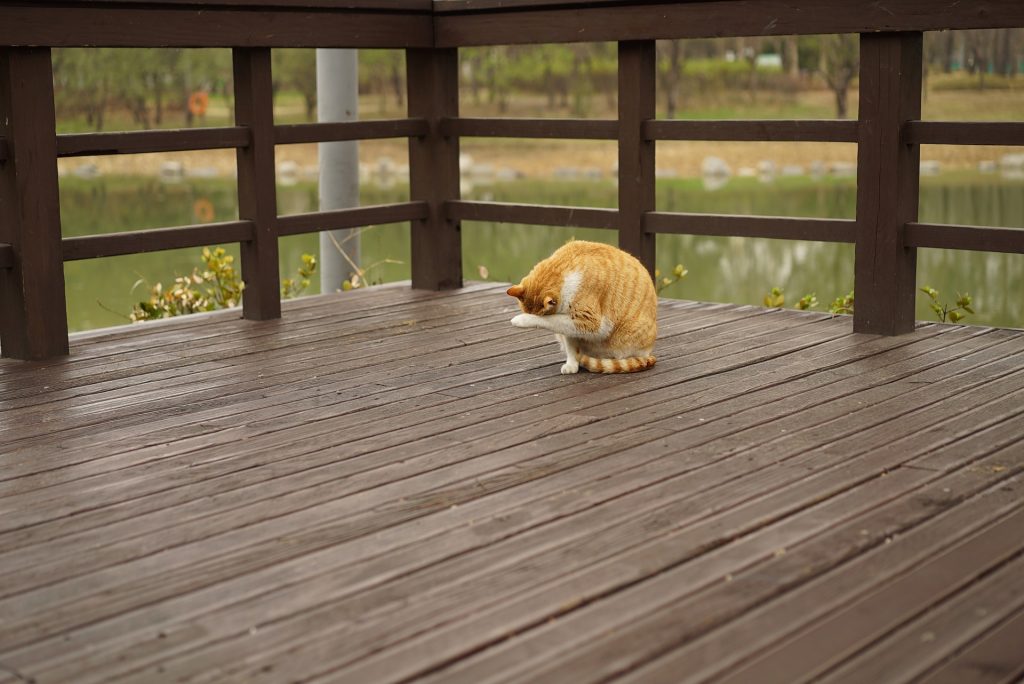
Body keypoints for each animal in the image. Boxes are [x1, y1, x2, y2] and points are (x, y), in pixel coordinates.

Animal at [503, 240, 655, 374]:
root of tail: (648, 353)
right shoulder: (570, 325)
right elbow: (571, 345)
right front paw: (572, 365)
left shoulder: (590, 322)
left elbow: (549, 320)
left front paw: (522, 319)